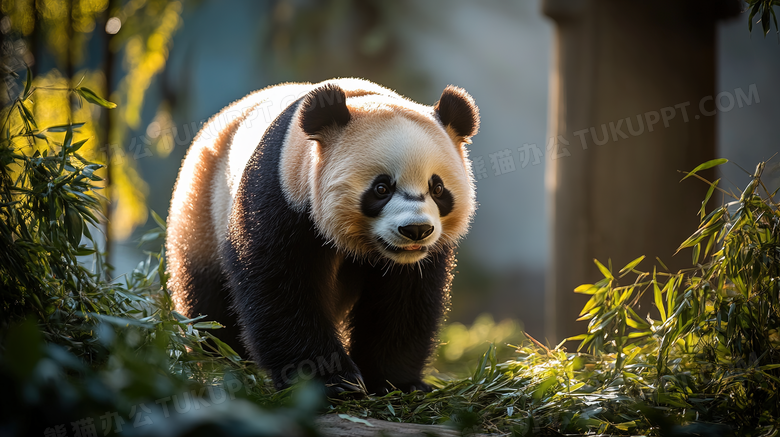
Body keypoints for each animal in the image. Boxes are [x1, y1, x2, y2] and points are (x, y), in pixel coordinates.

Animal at [168, 78, 478, 396]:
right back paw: (221, 361)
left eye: (437, 189)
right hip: (201, 208)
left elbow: (404, 302)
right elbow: (280, 290)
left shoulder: (420, 257)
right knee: (208, 303)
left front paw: (396, 381)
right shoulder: (282, 195)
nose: (416, 230)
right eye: (381, 188)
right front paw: (333, 380)